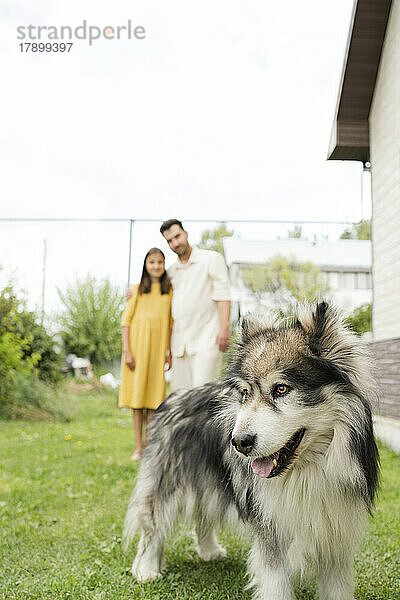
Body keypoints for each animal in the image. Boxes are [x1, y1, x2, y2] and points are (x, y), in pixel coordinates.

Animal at [123, 302, 380, 600]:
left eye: (281, 388)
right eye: (245, 394)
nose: (239, 442)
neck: (307, 470)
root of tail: (174, 397)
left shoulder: (335, 532)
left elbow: (337, 586)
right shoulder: (271, 530)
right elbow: (276, 583)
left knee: (203, 513)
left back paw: (209, 550)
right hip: (169, 481)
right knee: (153, 523)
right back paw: (146, 568)